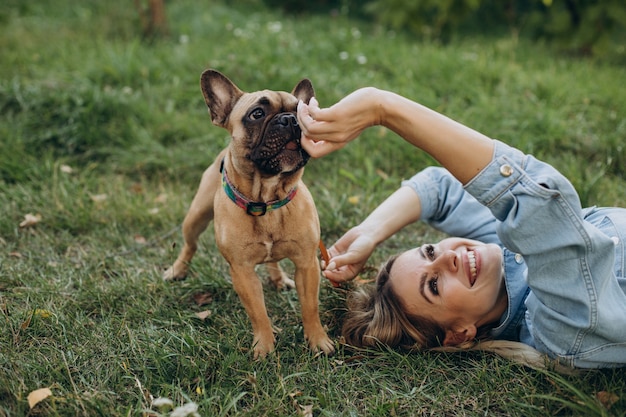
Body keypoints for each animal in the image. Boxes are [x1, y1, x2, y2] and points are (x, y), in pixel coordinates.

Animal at [163, 68, 334, 358]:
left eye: (301, 112)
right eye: (257, 114)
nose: (290, 120)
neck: (267, 198)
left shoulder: (307, 264)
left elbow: (310, 307)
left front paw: (318, 340)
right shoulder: (242, 271)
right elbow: (258, 312)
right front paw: (264, 347)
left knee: (272, 260)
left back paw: (279, 278)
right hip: (196, 217)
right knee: (189, 245)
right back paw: (177, 270)